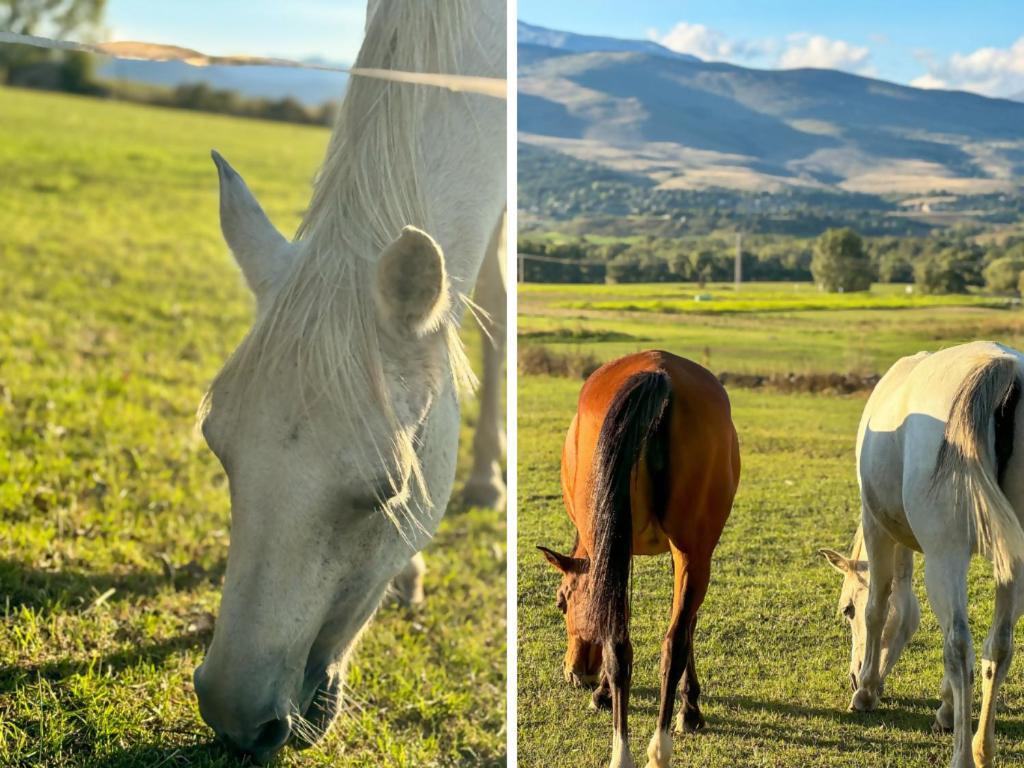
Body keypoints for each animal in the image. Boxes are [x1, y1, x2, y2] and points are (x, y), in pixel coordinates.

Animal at [536, 352, 745, 768]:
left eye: (561, 603)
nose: (574, 672)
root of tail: (659, 373)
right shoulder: (677, 553)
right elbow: (683, 626)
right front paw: (690, 709)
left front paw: (602, 693)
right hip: (693, 551)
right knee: (666, 641)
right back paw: (655, 747)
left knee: (627, 640)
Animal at [819, 342, 1024, 768]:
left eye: (846, 609)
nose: (852, 676)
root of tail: (1004, 367)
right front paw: (947, 707)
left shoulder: (878, 527)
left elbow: (878, 607)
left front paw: (865, 691)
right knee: (999, 645)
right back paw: (981, 747)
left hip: (944, 553)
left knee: (959, 645)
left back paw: (962, 755)